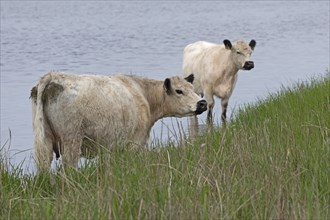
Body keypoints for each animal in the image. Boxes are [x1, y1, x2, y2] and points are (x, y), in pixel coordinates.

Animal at [31, 72, 206, 170]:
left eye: (192, 89)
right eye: (179, 91)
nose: (202, 103)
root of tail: (53, 76)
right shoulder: (135, 143)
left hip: (44, 140)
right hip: (71, 139)